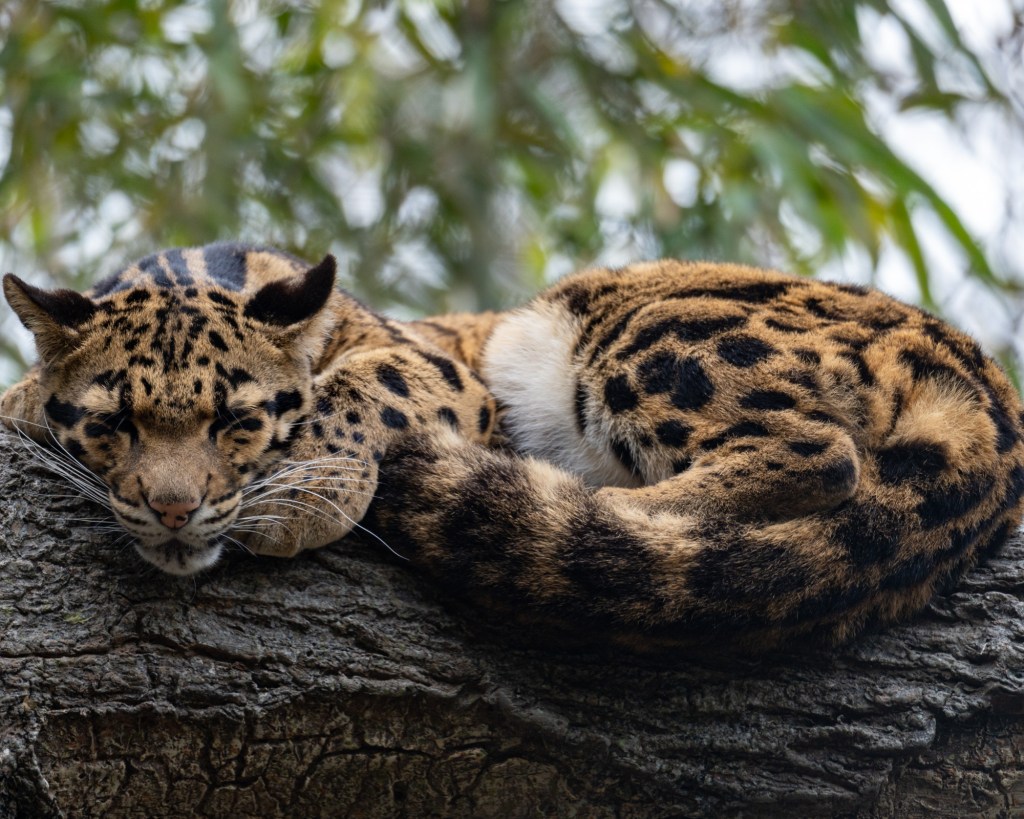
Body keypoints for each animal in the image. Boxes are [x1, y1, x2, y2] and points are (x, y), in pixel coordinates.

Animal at [4, 242, 1024, 649]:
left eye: (238, 421)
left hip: (643, 328)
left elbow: (359, 388)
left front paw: (301, 495)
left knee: (819, 452)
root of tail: (991, 397)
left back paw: (579, 501)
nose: (175, 510)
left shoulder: (433, 364)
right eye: (113, 426)